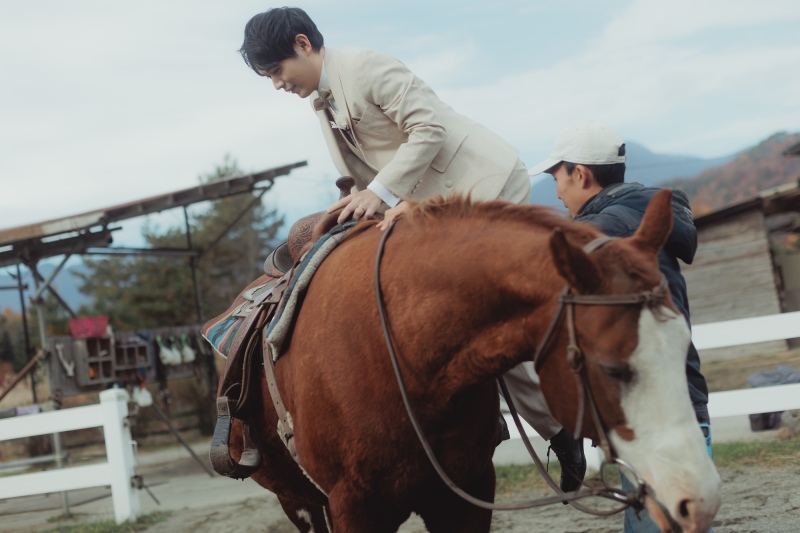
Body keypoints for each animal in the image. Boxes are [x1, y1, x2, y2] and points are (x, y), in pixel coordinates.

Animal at [223, 190, 721, 532]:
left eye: (683, 349)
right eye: (612, 368)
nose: (699, 500)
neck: (403, 354)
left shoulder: (467, 495)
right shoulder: (355, 510)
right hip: (299, 501)